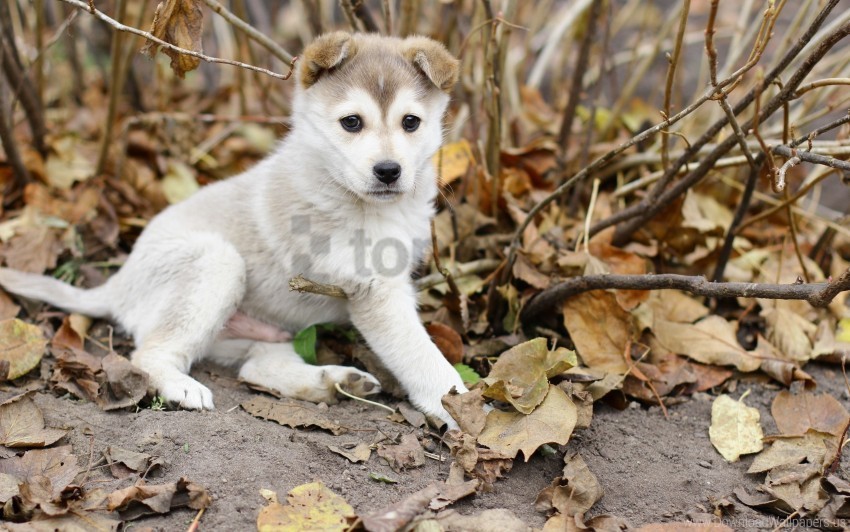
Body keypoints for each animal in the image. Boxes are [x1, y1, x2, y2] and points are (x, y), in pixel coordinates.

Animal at [0, 32, 468, 424]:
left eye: (411, 122)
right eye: (351, 122)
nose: (388, 171)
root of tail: (119, 282)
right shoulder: (375, 291)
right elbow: (424, 358)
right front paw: (460, 408)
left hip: (265, 329)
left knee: (257, 368)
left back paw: (333, 382)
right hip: (217, 263)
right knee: (150, 354)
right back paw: (182, 388)